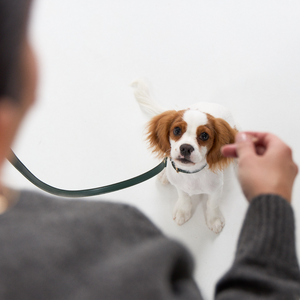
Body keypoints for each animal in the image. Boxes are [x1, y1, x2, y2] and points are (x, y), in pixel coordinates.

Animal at [132, 79, 238, 234]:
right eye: (176, 130)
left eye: (204, 135)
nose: (186, 148)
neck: (192, 174)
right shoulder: (179, 184)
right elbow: (184, 197)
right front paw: (183, 211)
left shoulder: (216, 188)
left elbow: (212, 204)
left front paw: (214, 219)